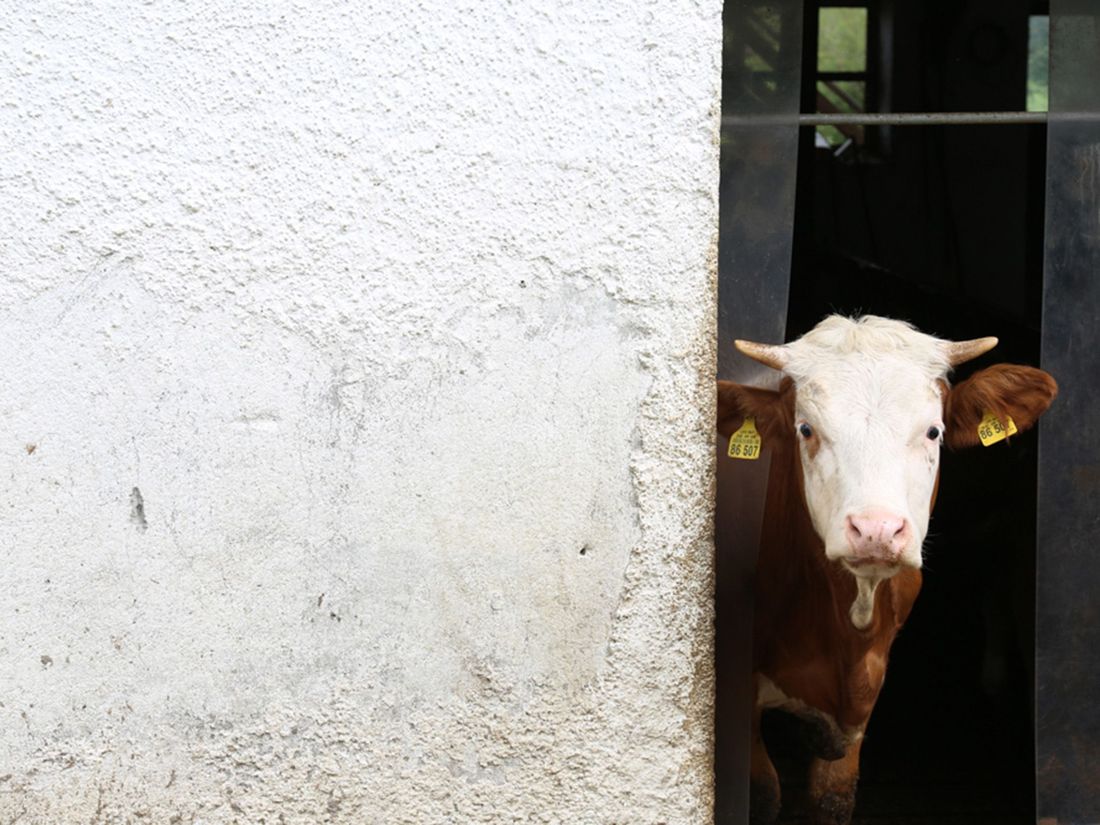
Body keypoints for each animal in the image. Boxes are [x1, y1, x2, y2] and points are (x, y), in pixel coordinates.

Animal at [717, 315, 1057, 825]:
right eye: (806, 429)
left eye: (934, 432)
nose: (875, 530)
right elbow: (763, 794)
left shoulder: (863, 696)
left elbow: (832, 797)